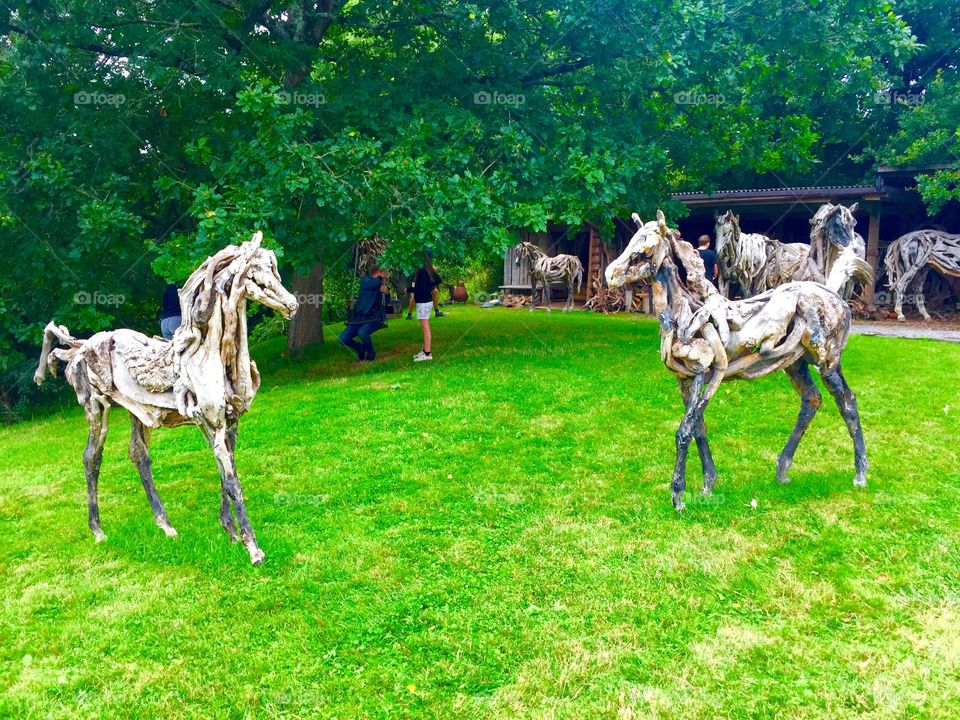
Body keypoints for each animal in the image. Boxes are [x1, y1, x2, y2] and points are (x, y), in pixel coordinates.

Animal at [34, 233, 296, 564]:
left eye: (274, 270)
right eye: (252, 275)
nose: (292, 305)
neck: (209, 354)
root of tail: (82, 347)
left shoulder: (231, 422)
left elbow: (228, 473)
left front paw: (231, 533)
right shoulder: (209, 422)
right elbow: (231, 480)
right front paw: (253, 549)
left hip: (136, 411)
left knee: (138, 455)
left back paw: (166, 526)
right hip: (96, 409)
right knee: (91, 457)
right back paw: (98, 531)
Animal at [612, 211, 872, 510]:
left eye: (646, 249)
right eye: (631, 241)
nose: (611, 274)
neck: (684, 314)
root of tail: (834, 295)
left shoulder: (707, 374)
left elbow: (685, 430)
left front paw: (678, 496)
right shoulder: (684, 379)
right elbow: (699, 427)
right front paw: (707, 486)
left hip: (827, 361)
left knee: (847, 402)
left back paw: (860, 475)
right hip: (795, 363)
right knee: (812, 399)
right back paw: (783, 471)